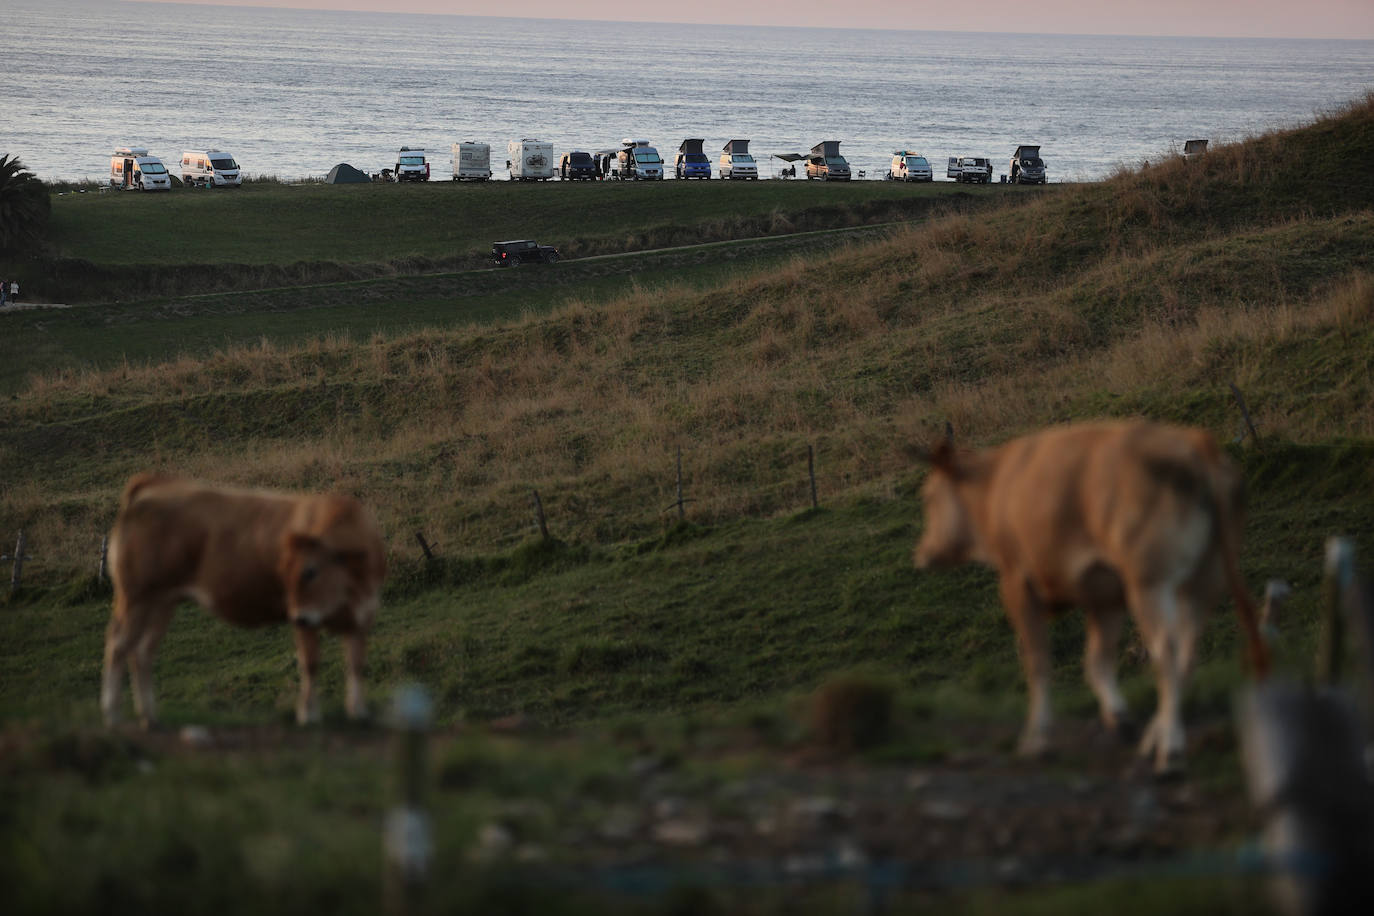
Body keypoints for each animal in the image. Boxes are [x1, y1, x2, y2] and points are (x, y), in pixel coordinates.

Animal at [101, 477, 387, 725]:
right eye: (283, 572)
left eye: (310, 571)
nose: (294, 616)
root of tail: (154, 485)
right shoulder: (308, 621)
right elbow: (311, 665)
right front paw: (309, 714)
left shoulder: (361, 617)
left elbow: (357, 665)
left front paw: (358, 711)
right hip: (136, 597)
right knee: (118, 645)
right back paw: (113, 714)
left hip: (162, 602)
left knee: (142, 651)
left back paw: (149, 716)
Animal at [912, 422, 1264, 774]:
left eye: (929, 498)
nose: (923, 553)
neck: (995, 485)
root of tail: (1198, 446)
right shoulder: (1105, 596)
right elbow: (1096, 661)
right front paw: (1119, 718)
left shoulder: (1017, 584)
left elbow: (1037, 662)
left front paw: (1037, 739)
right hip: (1203, 581)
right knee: (1187, 655)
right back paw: (1155, 738)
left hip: (1149, 582)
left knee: (1166, 651)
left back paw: (1170, 753)